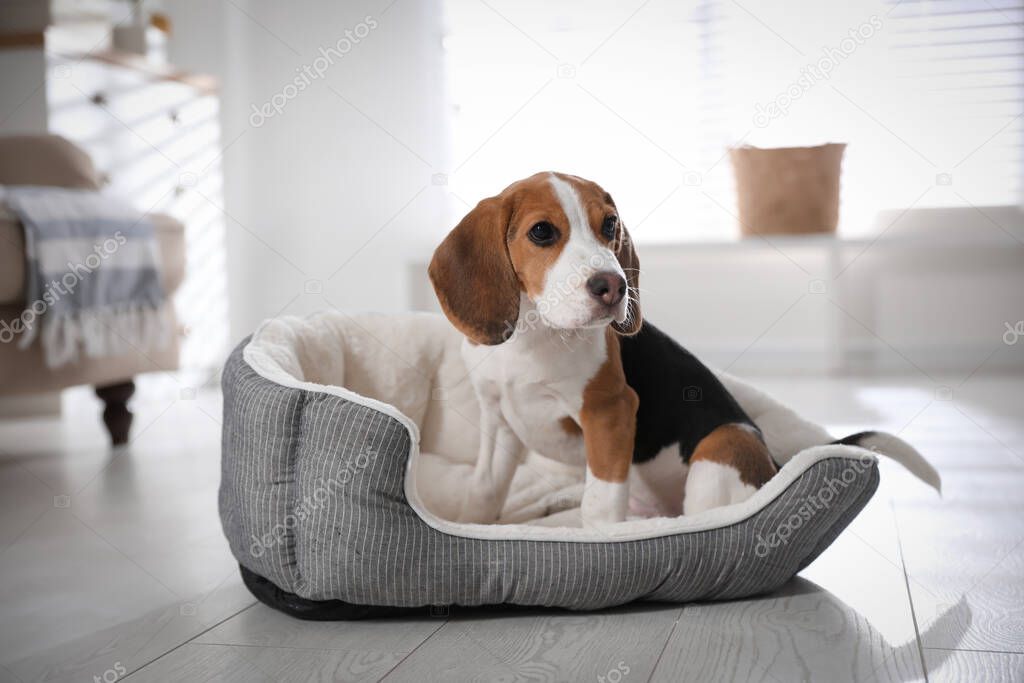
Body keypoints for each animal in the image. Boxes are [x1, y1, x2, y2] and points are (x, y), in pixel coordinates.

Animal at [430, 174, 774, 528]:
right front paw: (470, 523)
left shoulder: (609, 411)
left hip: (726, 443)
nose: (614, 287)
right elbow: (483, 489)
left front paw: (602, 535)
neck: (533, 334)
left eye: (610, 224)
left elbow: (599, 505)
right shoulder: (498, 418)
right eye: (541, 231)